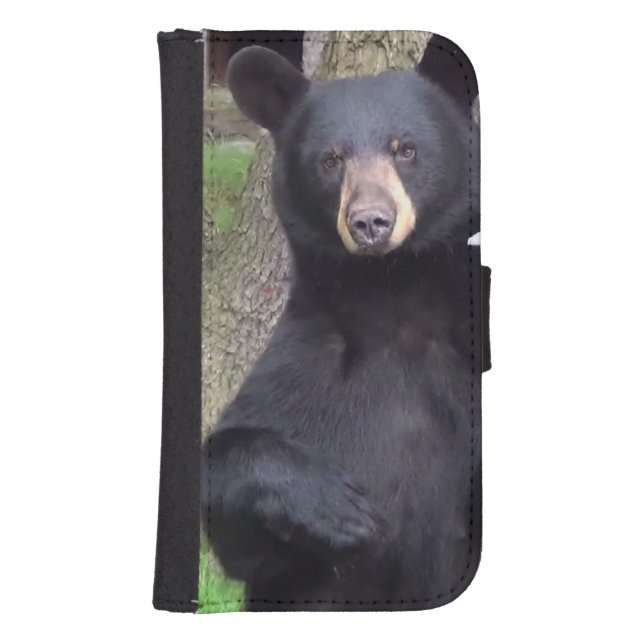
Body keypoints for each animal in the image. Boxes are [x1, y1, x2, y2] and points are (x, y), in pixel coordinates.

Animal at [202, 43, 481, 611]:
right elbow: (240, 539)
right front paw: (338, 509)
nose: (370, 222)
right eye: (330, 159)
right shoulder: (305, 364)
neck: (391, 295)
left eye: (406, 149)